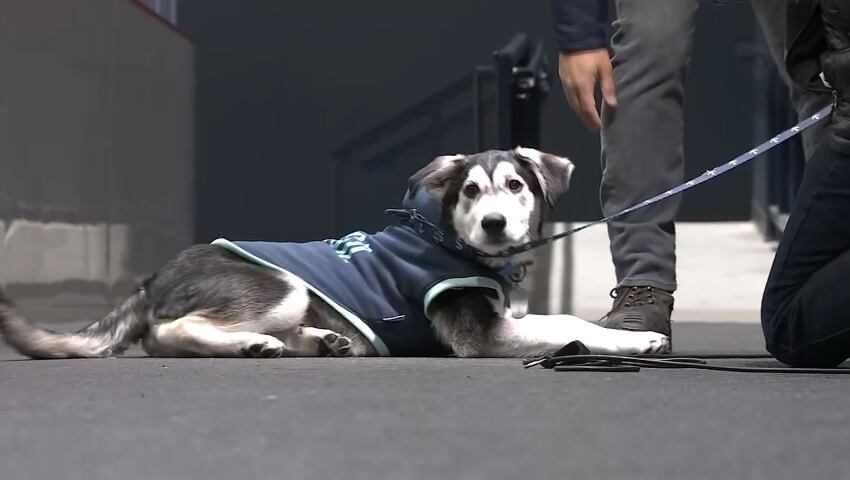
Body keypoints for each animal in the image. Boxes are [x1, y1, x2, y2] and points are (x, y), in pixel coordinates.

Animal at [0, 148, 668, 358]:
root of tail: (154, 275)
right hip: (282, 286)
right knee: (169, 333)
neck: (453, 246)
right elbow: (568, 322)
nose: (495, 224)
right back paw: (254, 343)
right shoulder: (481, 336)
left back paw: (319, 341)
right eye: (470, 192)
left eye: (517, 185)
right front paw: (638, 339)